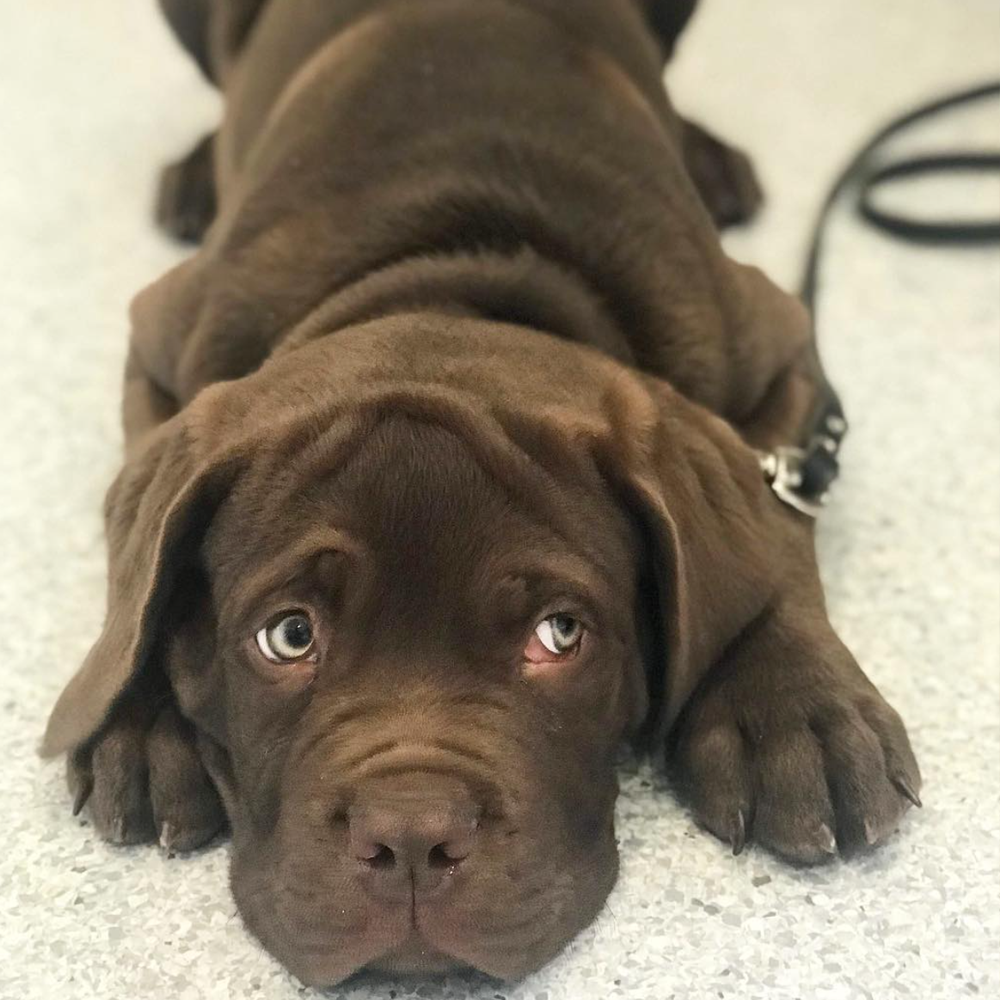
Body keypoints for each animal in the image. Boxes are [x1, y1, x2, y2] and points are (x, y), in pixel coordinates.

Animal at [43, 0, 916, 984]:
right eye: (289, 636)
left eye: (560, 634)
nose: (412, 837)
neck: (452, 269)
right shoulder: (162, 342)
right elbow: (137, 580)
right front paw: (139, 719)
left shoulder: (778, 345)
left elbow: (780, 527)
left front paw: (796, 710)